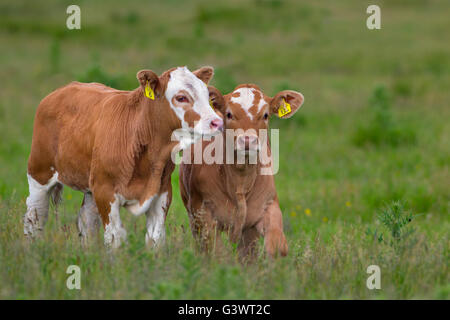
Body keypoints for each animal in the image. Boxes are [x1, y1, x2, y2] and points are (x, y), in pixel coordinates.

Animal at [23, 66, 224, 249]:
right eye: (181, 97)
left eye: (207, 95)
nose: (217, 122)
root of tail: (61, 91)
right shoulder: (105, 192)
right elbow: (115, 238)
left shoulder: (162, 191)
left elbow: (155, 238)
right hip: (39, 173)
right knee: (34, 218)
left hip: (90, 184)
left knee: (86, 221)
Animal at [178, 84, 302, 258]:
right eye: (229, 114)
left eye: (265, 115)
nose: (248, 140)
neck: (240, 180)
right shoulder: (202, 213)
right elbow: (216, 252)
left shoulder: (268, 205)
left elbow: (278, 247)